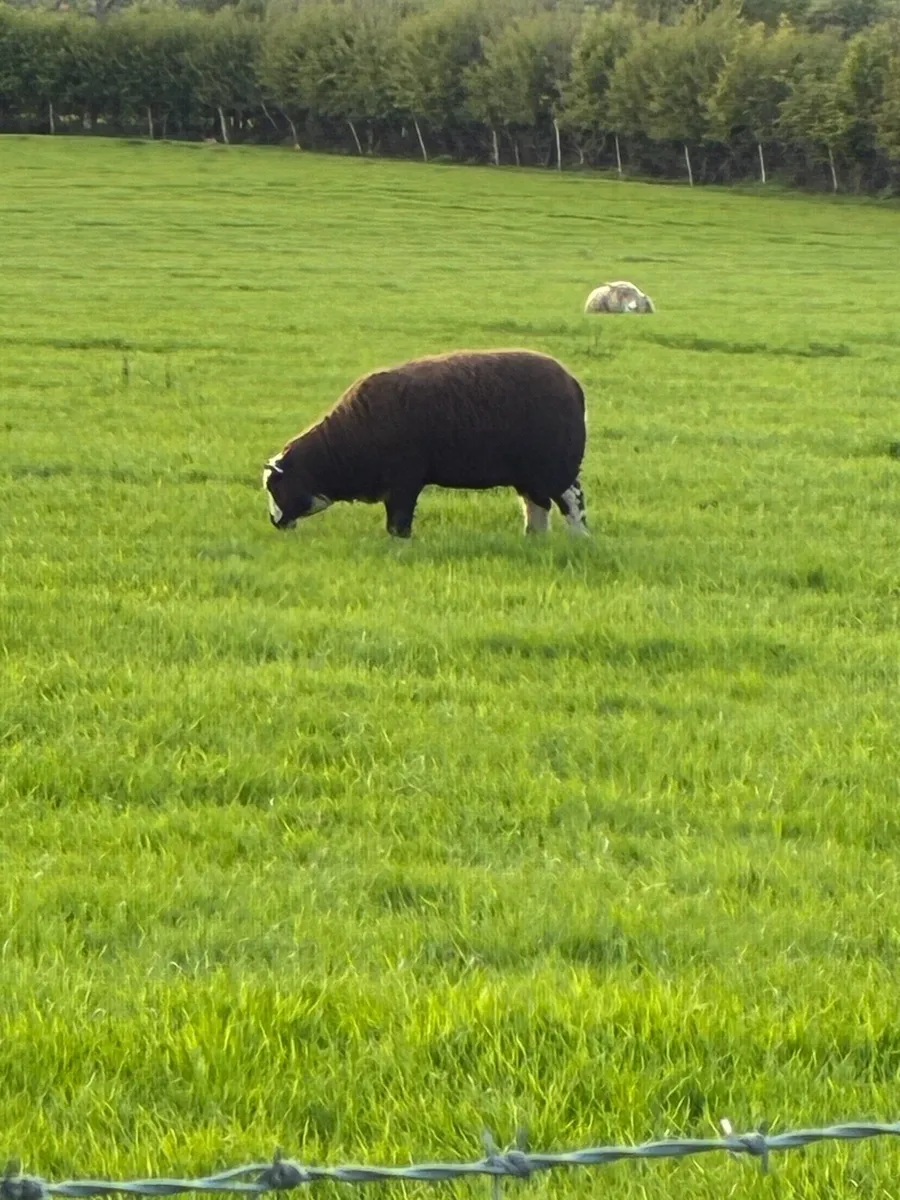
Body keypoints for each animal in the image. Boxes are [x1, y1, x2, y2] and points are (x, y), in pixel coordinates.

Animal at [262, 349, 589, 539]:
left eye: (275, 486)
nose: (274, 522)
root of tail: (571, 383)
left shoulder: (404, 482)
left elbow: (398, 522)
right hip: (529, 474)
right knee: (536, 506)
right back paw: (534, 539)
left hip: (556, 468)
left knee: (572, 502)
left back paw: (580, 539)